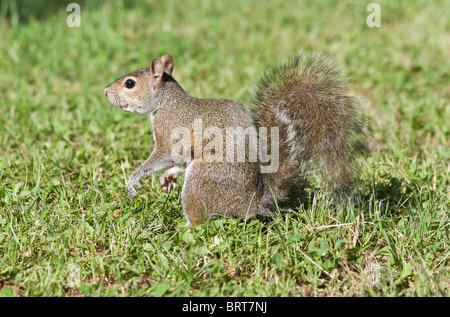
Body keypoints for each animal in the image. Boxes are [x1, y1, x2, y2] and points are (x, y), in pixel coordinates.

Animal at [104, 51, 370, 227]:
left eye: (130, 83)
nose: (105, 91)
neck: (165, 101)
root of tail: (251, 203)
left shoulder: (171, 133)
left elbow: (166, 155)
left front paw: (135, 178)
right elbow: (178, 162)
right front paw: (168, 177)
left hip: (202, 179)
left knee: (201, 220)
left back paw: (182, 226)